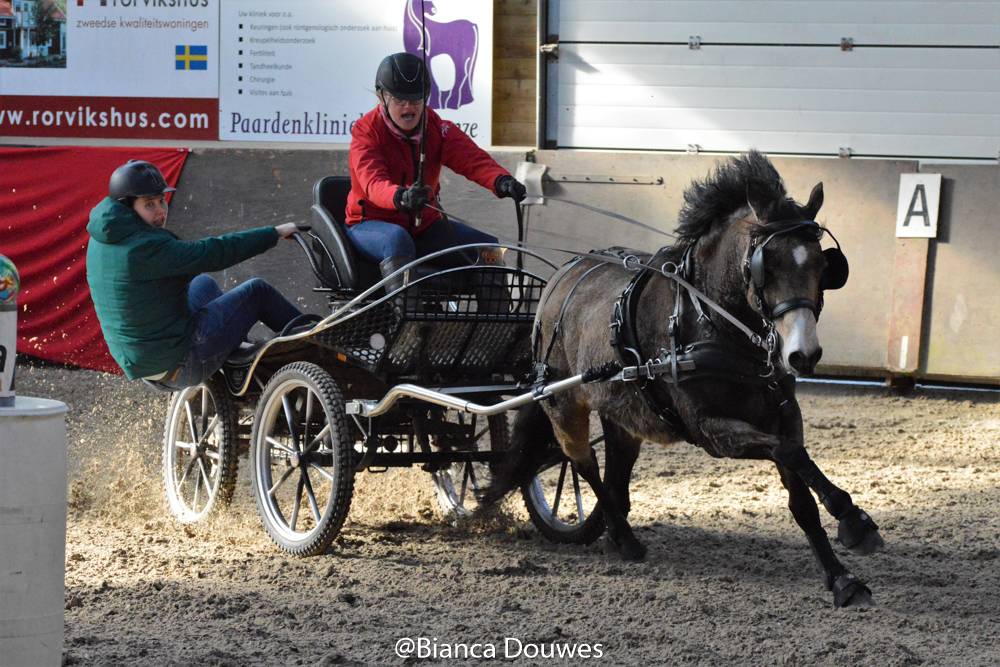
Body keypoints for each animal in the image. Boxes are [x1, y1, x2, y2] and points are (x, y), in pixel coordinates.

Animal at [484, 153, 884, 612]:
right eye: (767, 267)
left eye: (823, 265)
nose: (803, 354)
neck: (709, 322)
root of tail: (561, 277)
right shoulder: (710, 431)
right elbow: (789, 453)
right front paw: (854, 519)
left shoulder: (783, 417)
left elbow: (800, 492)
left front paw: (842, 577)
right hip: (564, 403)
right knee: (582, 463)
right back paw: (620, 535)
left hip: (623, 413)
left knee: (615, 469)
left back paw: (620, 535)